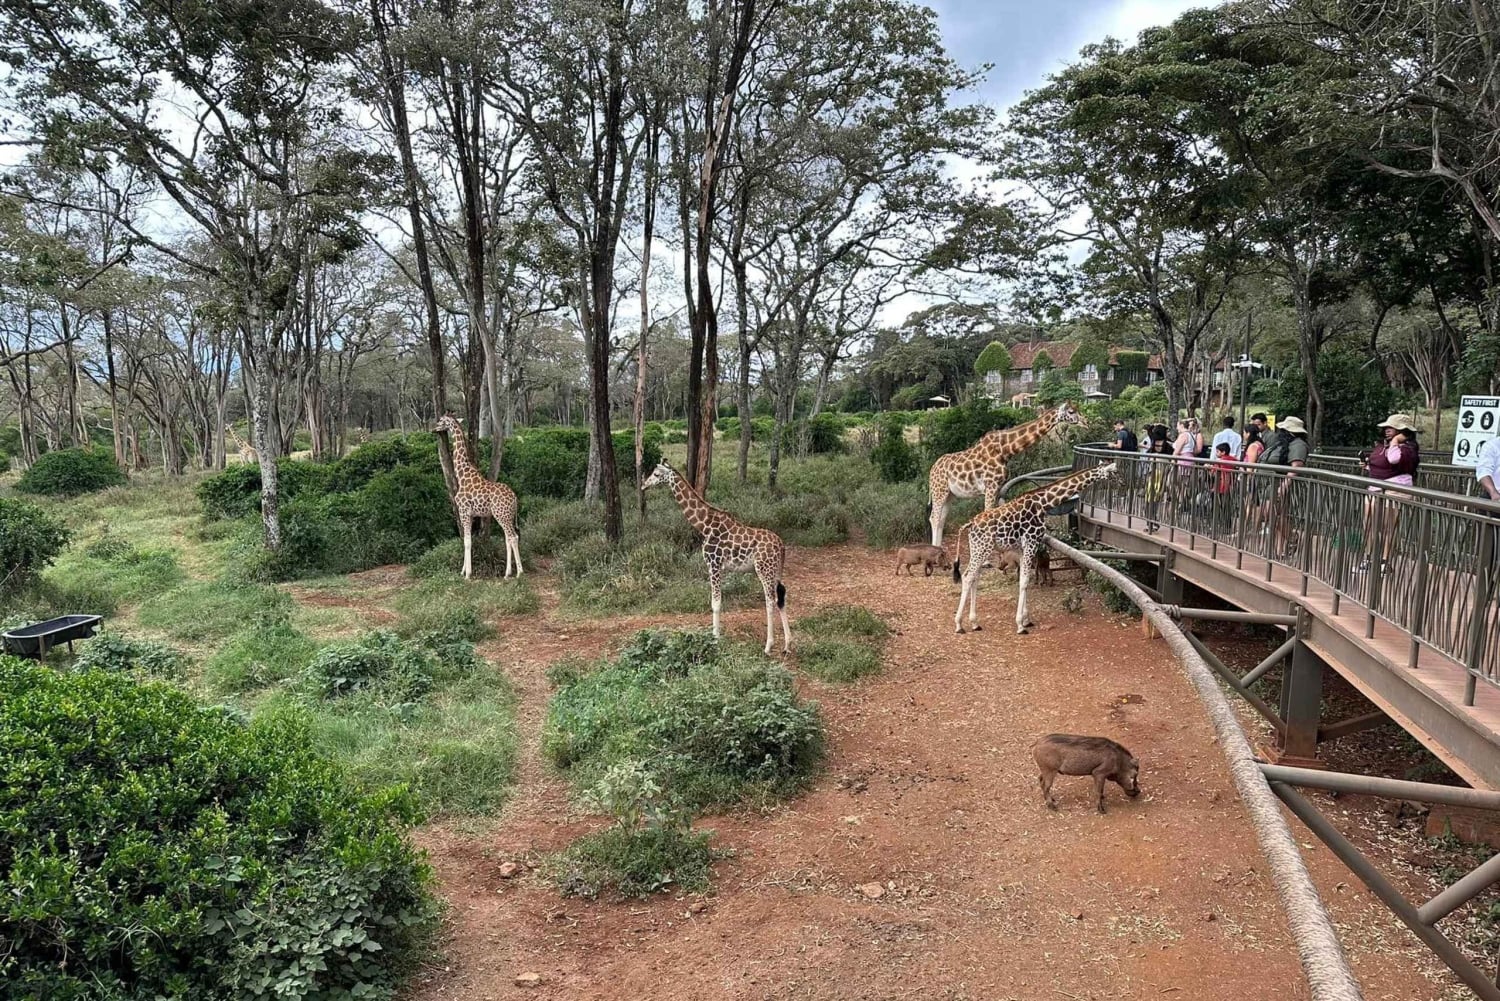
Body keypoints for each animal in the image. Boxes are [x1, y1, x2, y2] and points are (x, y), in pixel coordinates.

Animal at [431, 414, 523, 579]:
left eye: (441, 420)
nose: (433, 428)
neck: (462, 475)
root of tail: (514, 498)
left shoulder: (464, 511)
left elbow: (467, 541)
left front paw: (468, 574)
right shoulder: (471, 514)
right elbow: (467, 540)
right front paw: (463, 570)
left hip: (501, 515)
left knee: (513, 537)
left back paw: (519, 572)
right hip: (507, 515)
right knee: (508, 538)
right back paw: (507, 573)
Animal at [642, 461, 792, 655]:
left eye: (656, 474)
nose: (644, 485)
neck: (704, 525)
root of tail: (781, 546)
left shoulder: (713, 564)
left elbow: (716, 603)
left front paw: (715, 639)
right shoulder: (719, 567)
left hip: (764, 569)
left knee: (770, 601)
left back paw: (768, 646)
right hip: (776, 571)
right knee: (781, 597)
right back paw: (787, 645)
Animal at [927, 403, 1085, 545]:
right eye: (1071, 411)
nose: (1086, 422)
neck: (1006, 450)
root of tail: (932, 470)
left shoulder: (996, 487)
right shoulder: (990, 486)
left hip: (949, 494)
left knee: (941, 519)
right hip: (939, 491)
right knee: (934, 518)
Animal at [952, 461, 1117, 635]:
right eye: (1114, 472)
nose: (1121, 483)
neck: (1043, 503)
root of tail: (970, 524)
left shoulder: (1024, 547)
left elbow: (1025, 578)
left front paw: (1026, 620)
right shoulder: (1031, 542)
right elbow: (1025, 580)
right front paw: (1020, 625)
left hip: (978, 548)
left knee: (974, 577)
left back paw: (975, 623)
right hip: (982, 548)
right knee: (968, 576)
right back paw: (959, 625)